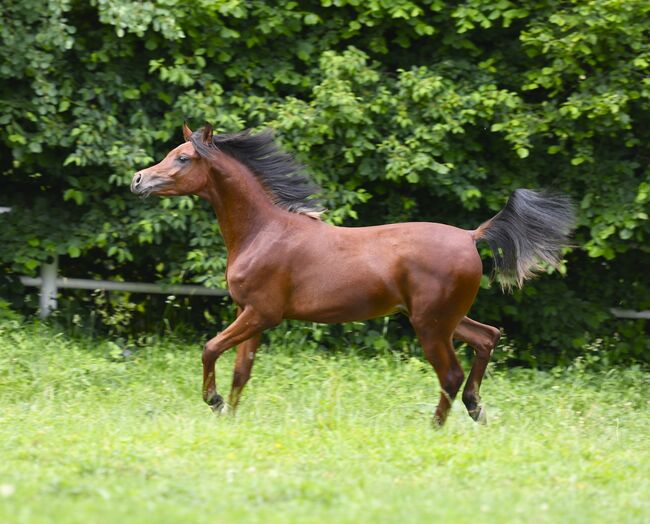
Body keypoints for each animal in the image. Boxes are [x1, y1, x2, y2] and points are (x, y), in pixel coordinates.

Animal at [130, 125, 572, 428]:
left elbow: (209, 348)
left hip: (431, 325)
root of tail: (470, 235)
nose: (138, 179)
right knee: (487, 338)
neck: (263, 231)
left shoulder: (261, 313)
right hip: (444, 318)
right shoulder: (250, 315)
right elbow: (242, 371)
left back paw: (435, 427)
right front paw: (231, 418)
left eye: (183, 158)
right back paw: (476, 410)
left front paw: (214, 402)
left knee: (450, 374)